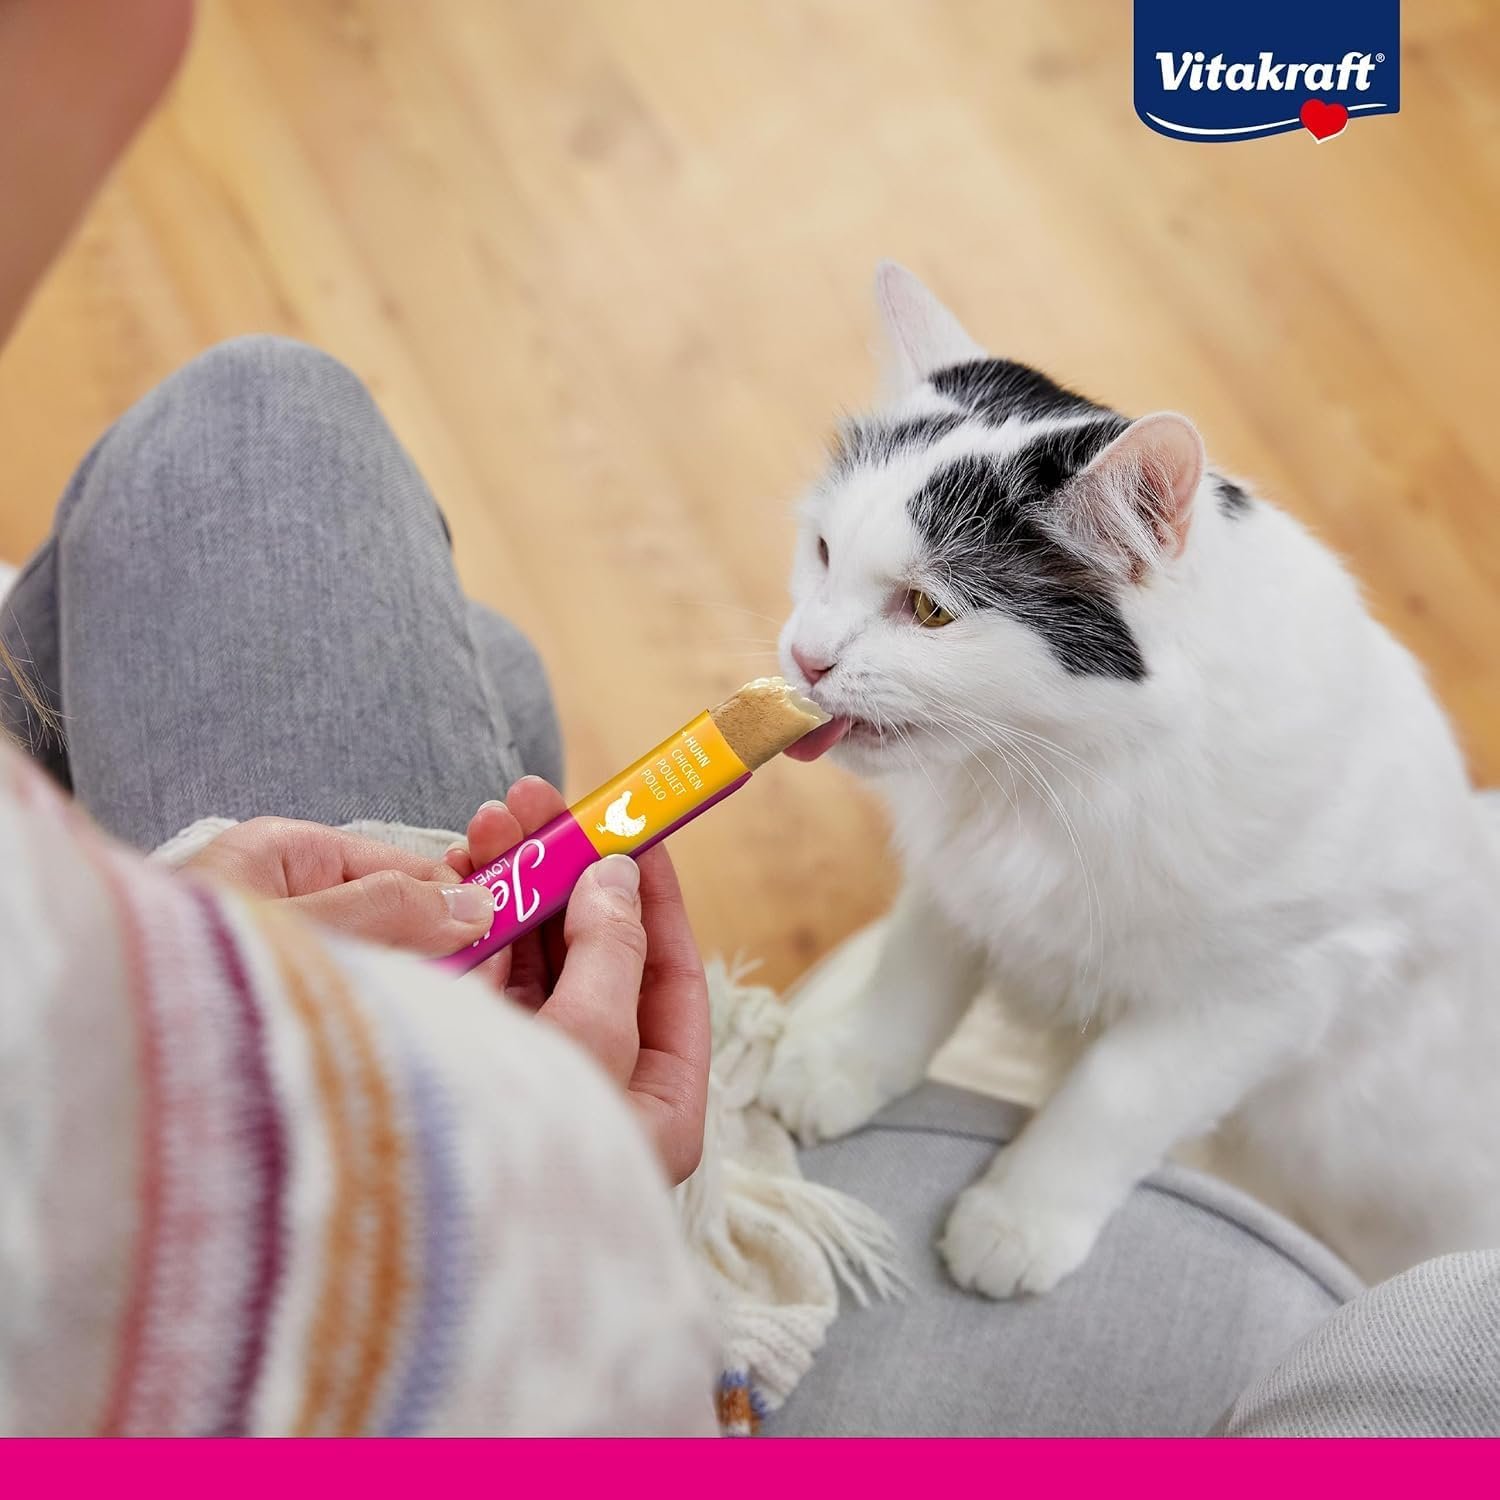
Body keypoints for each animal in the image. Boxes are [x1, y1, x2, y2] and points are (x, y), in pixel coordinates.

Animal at [762, 262, 1500, 1297]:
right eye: (823, 552)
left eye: (929, 609)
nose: (806, 655)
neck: (1049, 779)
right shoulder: (959, 884)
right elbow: (911, 979)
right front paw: (840, 1067)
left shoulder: (1273, 989)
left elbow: (1115, 1096)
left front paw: (1020, 1221)